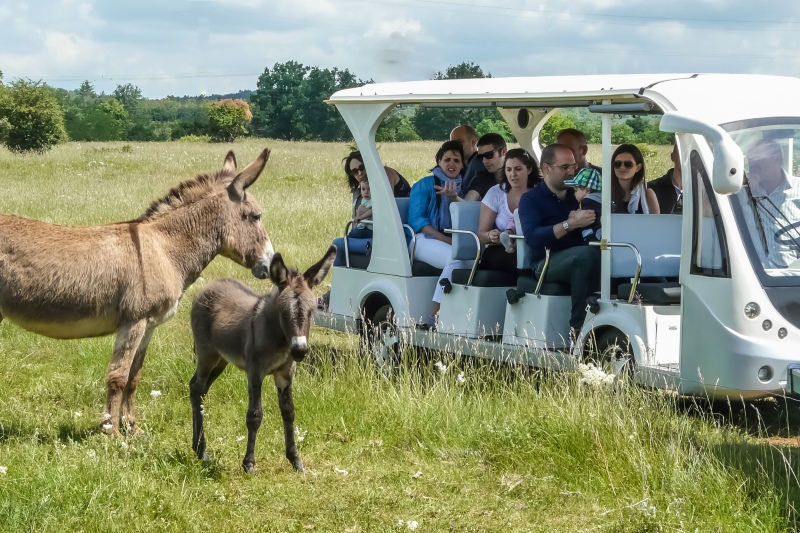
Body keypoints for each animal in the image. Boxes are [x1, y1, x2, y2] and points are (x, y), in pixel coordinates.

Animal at [190, 247, 334, 472]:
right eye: (284, 314)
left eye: (311, 313)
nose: (300, 351)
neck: (280, 340)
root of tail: (211, 286)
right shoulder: (255, 372)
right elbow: (254, 416)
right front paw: (248, 463)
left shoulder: (285, 374)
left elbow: (289, 412)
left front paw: (295, 461)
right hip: (207, 355)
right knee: (197, 389)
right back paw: (202, 451)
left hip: (221, 360)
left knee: (199, 389)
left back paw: (197, 448)